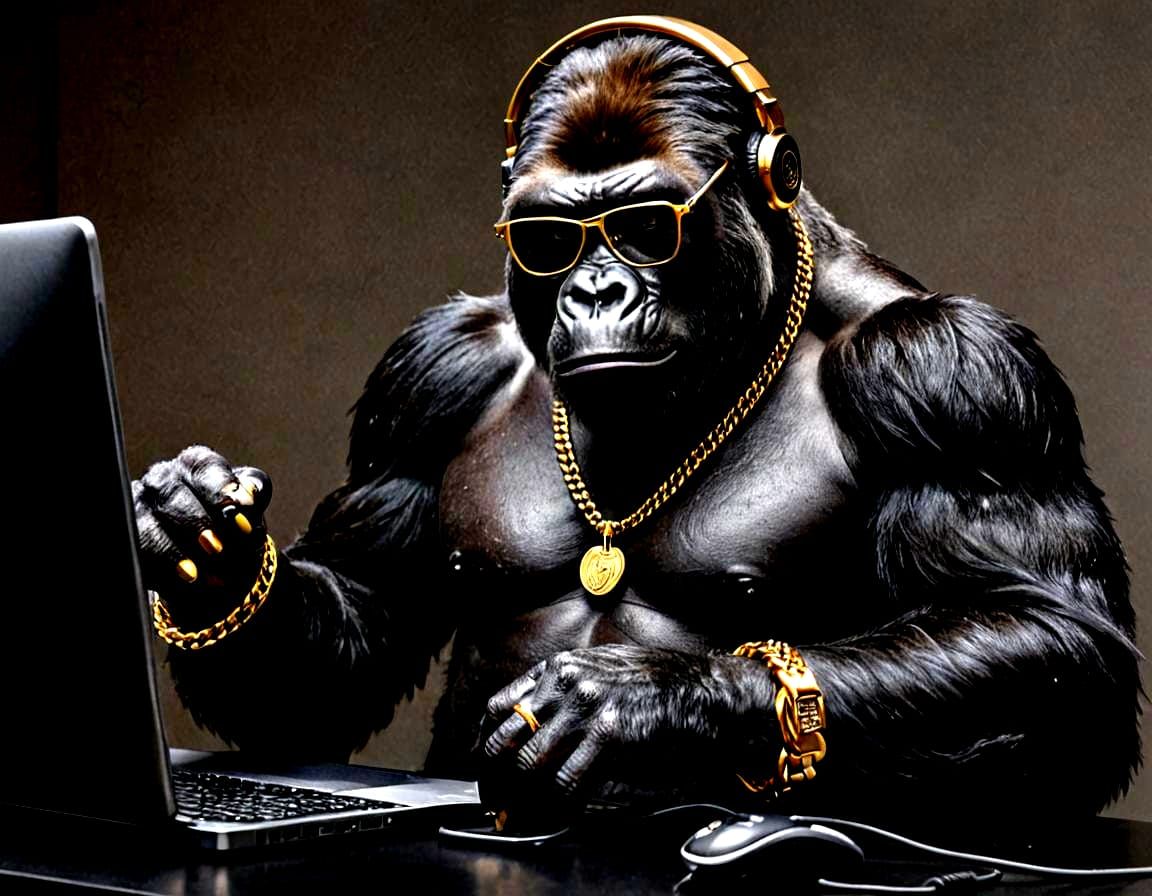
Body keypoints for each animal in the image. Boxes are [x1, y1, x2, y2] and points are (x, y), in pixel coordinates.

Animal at [132, 19, 1141, 834]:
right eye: (547, 237)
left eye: (647, 226)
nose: (595, 289)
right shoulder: (425, 374)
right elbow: (352, 637)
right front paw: (205, 546)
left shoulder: (956, 376)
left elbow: (1055, 638)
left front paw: (644, 701)